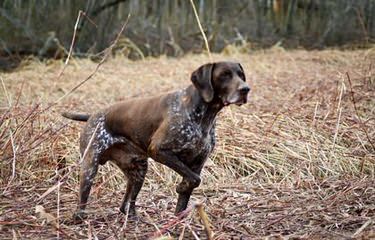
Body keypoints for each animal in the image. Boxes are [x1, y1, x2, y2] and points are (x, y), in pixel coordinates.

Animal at [62, 61, 250, 221]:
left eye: (241, 75)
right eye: (224, 75)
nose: (246, 89)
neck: (204, 114)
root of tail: (93, 115)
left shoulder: (198, 162)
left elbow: (189, 188)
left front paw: (178, 220)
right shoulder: (159, 150)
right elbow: (194, 179)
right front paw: (181, 187)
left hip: (139, 171)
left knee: (126, 203)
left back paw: (132, 216)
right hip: (90, 167)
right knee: (82, 201)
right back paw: (79, 217)